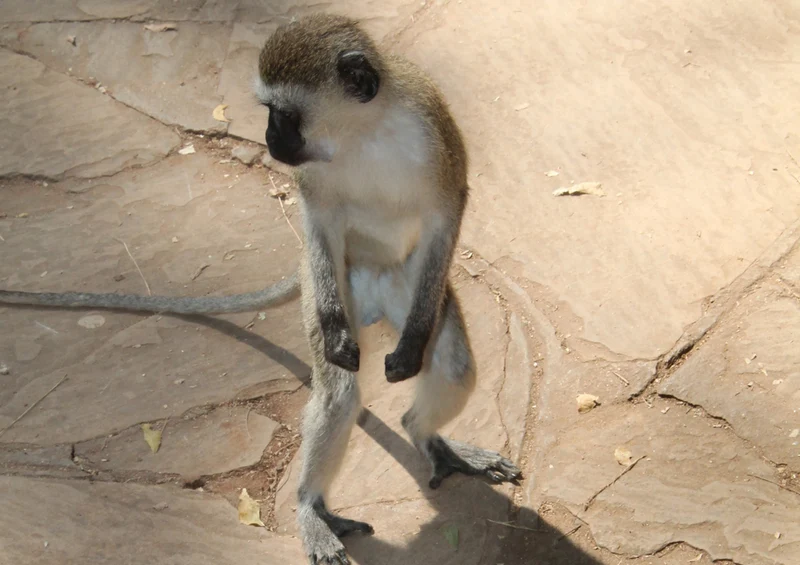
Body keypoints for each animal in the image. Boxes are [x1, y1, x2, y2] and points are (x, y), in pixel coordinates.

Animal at [0, 14, 521, 565]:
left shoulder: (432, 129)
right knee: (338, 392)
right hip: (330, 283)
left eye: (284, 114)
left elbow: (446, 212)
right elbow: (319, 218)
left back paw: (428, 436)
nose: (268, 136)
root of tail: (376, 296)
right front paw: (336, 335)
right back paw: (313, 507)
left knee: (454, 366)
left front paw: (415, 342)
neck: (363, 131)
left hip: (409, 282)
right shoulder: (320, 190)